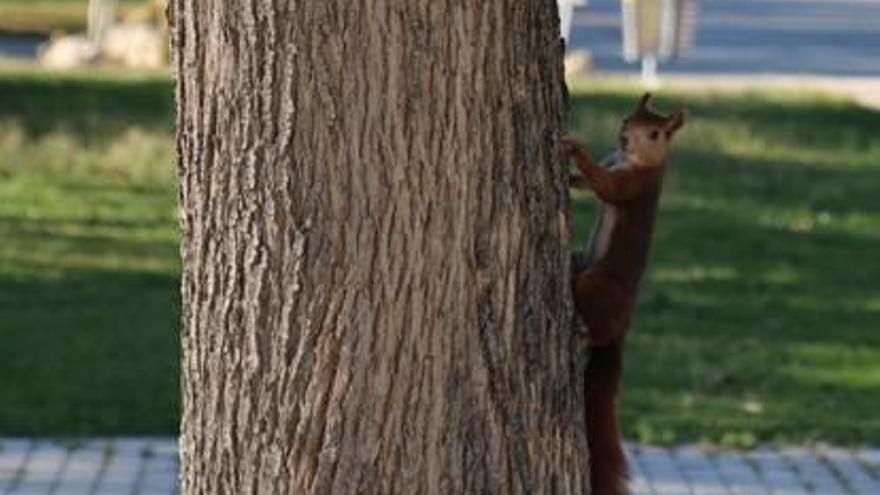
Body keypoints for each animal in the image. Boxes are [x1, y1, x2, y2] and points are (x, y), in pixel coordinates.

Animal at [564, 93, 688, 495]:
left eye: (655, 133)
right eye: (625, 118)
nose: (623, 139)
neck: (637, 161)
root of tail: (624, 324)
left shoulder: (633, 184)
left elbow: (607, 187)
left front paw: (575, 150)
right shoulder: (614, 161)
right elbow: (593, 183)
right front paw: (571, 175)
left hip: (601, 286)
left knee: (596, 323)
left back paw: (586, 330)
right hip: (586, 264)